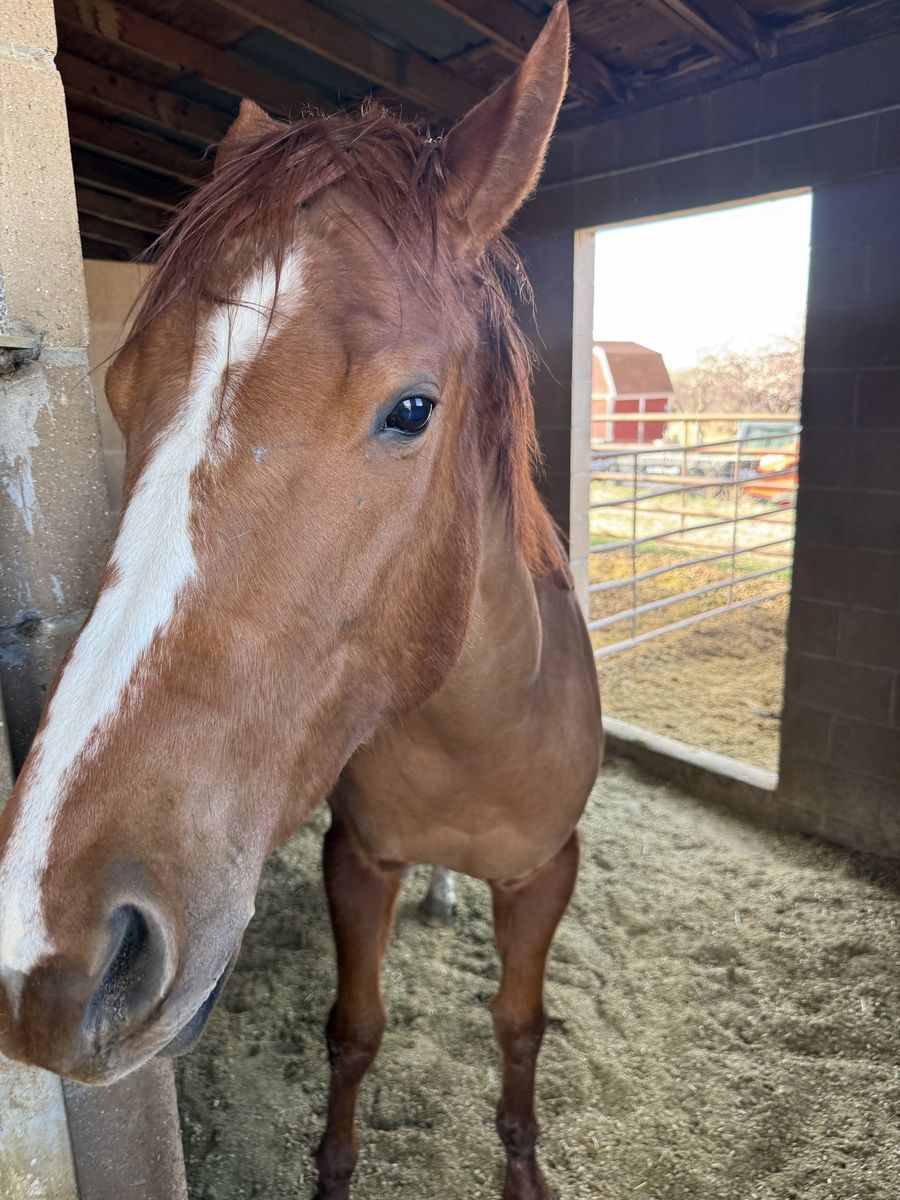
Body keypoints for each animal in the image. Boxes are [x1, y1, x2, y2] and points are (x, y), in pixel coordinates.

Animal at [0, 4, 601, 1196]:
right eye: (118, 389)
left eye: (411, 408)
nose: (51, 956)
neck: (479, 730)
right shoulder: (355, 863)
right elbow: (354, 1030)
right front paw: (332, 1170)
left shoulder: (542, 880)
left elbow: (519, 1032)